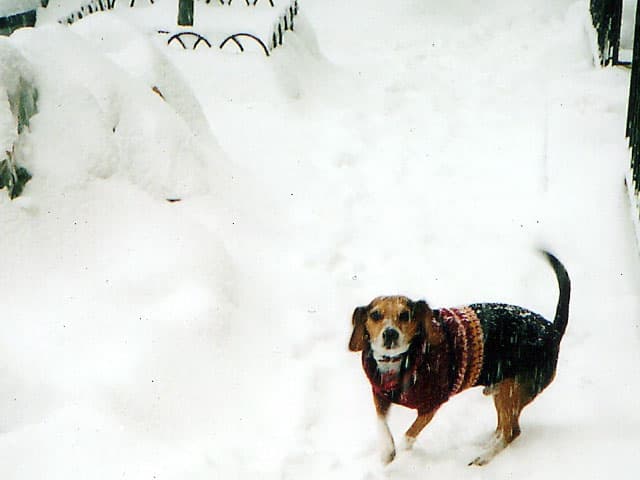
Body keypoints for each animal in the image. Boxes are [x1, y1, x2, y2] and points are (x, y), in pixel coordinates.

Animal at [350, 251, 568, 464]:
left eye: (405, 315)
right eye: (375, 315)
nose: (390, 333)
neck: (399, 361)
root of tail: (553, 330)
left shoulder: (431, 406)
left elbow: (409, 435)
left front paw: (400, 455)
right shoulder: (380, 397)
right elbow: (382, 424)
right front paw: (387, 452)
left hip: (511, 391)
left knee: (512, 431)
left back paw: (483, 457)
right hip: (503, 391)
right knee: (503, 427)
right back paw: (487, 443)